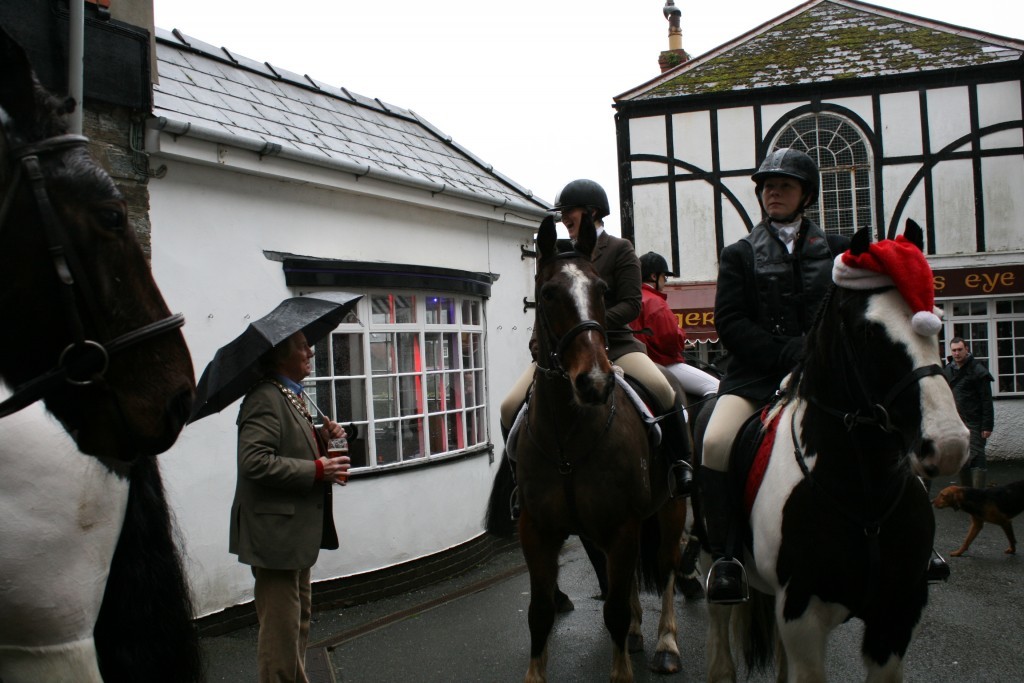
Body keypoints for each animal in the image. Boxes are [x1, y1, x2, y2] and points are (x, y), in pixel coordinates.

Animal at [485, 214, 688, 683]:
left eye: (602, 291)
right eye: (547, 293)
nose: (595, 382)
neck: (567, 438)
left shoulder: (623, 525)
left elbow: (613, 608)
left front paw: (623, 668)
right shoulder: (537, 529)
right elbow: (541, 611)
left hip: (671, 506)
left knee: (667, 565)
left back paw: (666, 644)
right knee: (623, 579)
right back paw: (636, 632)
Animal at [700, 222, 970, 679]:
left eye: (937, 325)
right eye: (867, 331)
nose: (949, 444)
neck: (864, 492)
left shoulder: (896, 614)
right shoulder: (802, 616)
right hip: (709, 556)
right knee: (719, 634)